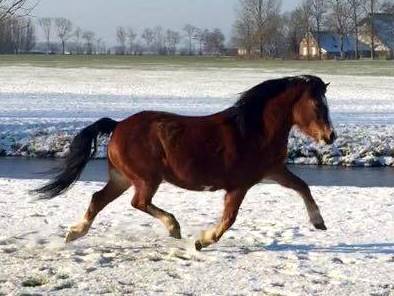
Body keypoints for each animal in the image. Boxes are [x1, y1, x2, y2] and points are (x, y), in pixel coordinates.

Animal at [34, 74, 336, 250]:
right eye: (317, 104)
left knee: (99, 199)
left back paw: (74, 233)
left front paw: (319, 222)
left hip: (122, 178)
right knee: (138, 202)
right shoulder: (239, 186)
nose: (330, 136)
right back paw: (173, 227)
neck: (253, 130)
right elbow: (229, 219)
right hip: (146, 178)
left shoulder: (273, 170)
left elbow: (302, 186)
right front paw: (203, 240)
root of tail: (118, 125)